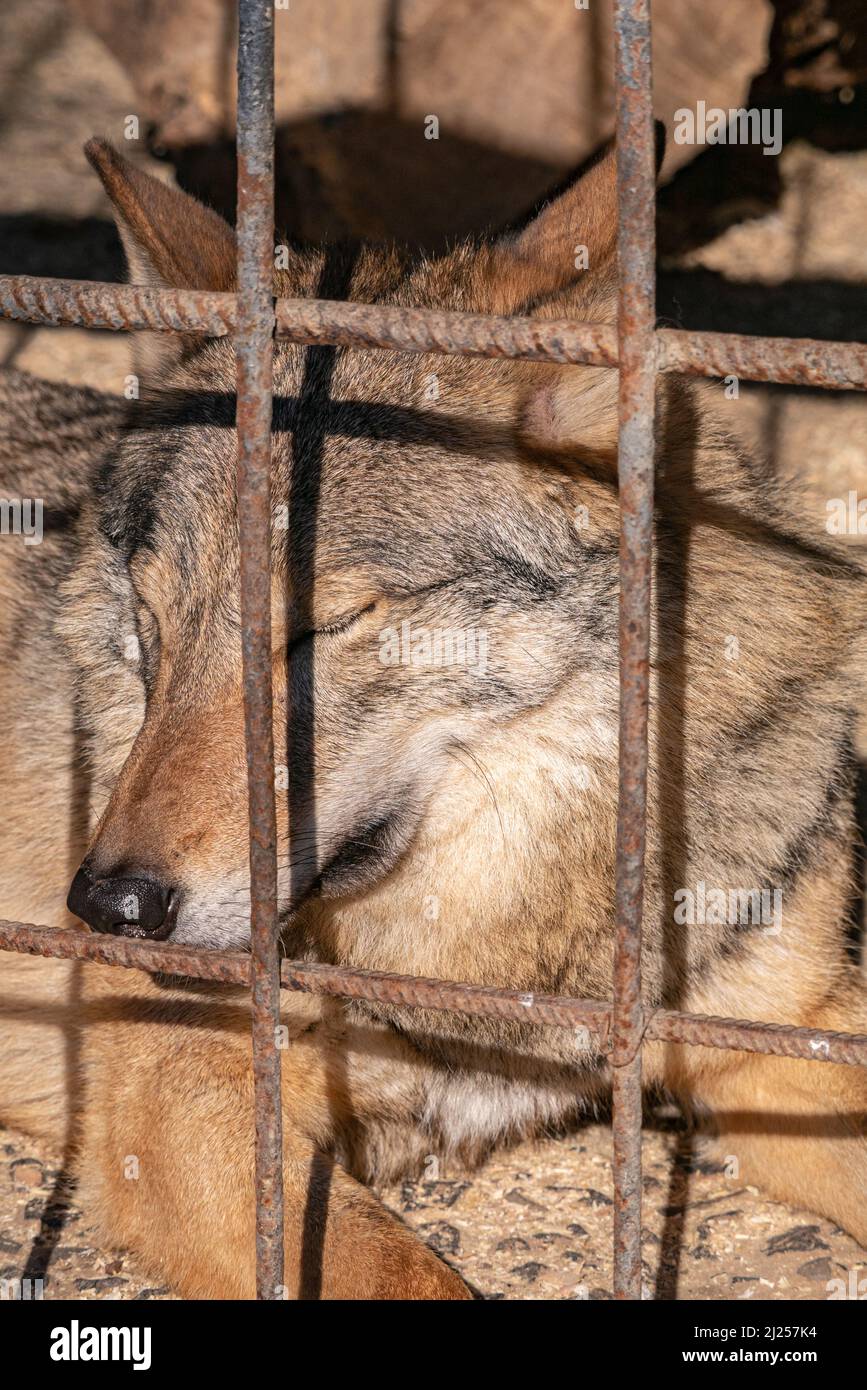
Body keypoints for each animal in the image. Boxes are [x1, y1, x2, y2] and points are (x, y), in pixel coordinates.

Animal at [0, 135, 861, 1295]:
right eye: (151, 624)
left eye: (327, 624)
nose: (107, 906)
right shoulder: (190, 1105)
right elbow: (409, 1273)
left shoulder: (786, 1043)